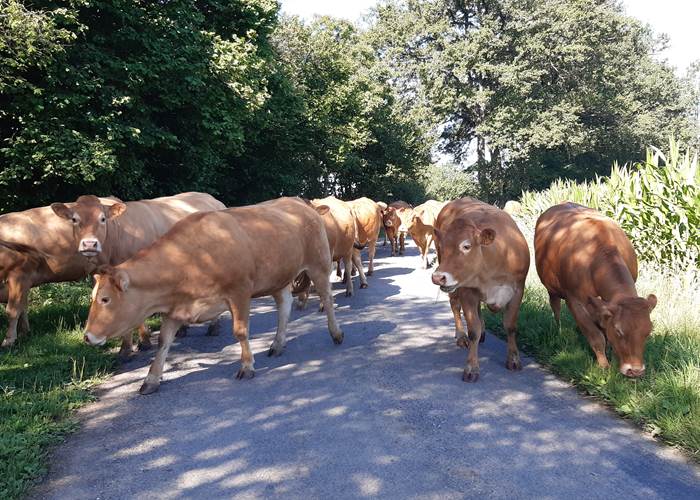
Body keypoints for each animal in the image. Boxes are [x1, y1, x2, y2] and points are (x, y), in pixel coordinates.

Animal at [0, 192, 224, 356]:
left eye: (102, 219)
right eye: (74, 219)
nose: (89, 244)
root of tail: (211, 198)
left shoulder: (19, 274)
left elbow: (13, 309)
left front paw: (8, 341)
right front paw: (138, 343)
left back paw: (213, 328)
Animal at [83, 197, 345, 394]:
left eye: (105, 299)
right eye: (93, 298)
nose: (87, 337)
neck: (191, 259)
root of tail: (301, 204)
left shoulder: (239, 291)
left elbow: (240, 331)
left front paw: (247, 366)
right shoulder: (177, 306)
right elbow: (163, 342)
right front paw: (151, 379)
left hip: (319, 263)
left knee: (327, 298)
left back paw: (336, 333)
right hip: (279, 276)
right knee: (284, 306)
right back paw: (277, 344)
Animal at [431, 198, 530, 382]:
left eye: (466, 246)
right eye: (443, 245)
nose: (437, 277)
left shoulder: (518, 289)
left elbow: (510, 326)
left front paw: (513, 359)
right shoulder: (467, 290)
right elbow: (473, 330)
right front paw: (471, 367)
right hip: (455, 287)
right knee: (455, 306)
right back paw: (461, 336)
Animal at [534, 202, 657, 377]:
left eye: (648, 332)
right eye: (619, 331)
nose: (635, 370)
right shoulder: (575, 302)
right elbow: (596, 337)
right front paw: (604, 366)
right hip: (552, 288)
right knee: (555, 307)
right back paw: (559, 331)